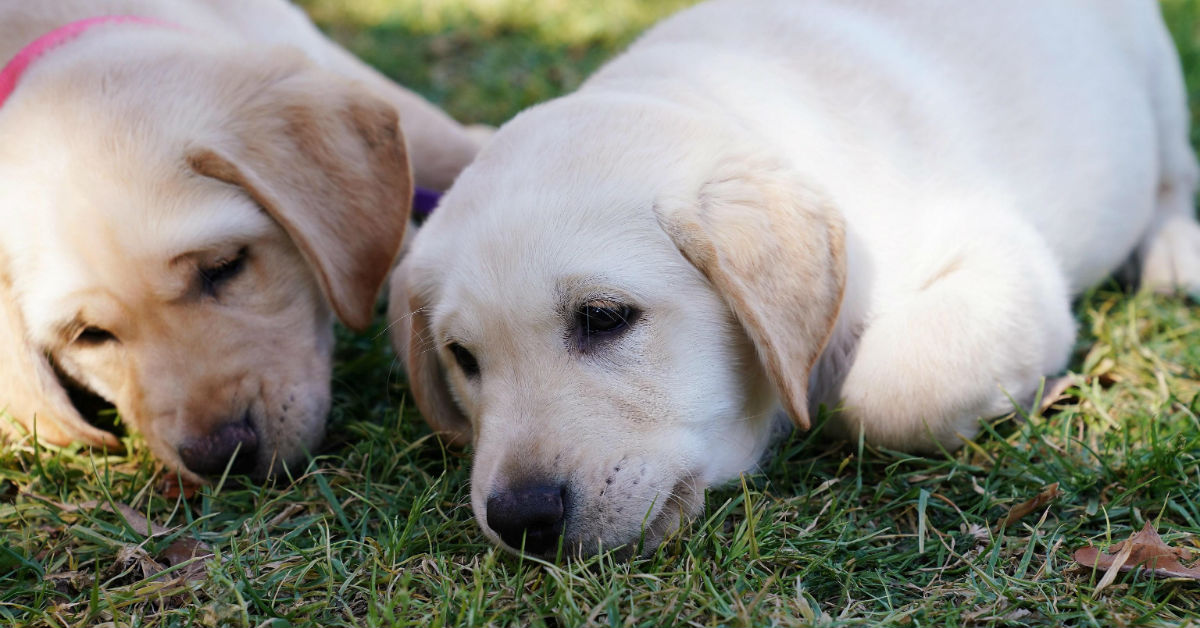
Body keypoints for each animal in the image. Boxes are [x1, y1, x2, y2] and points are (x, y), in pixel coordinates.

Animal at [391, 0, 1200, 559]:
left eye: (604, 316)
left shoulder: (1003, 262)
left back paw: (1172, 251)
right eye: (462, 359)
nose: (520, 518)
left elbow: (888, 392)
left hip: (1156, 76)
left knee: (1173, 170)